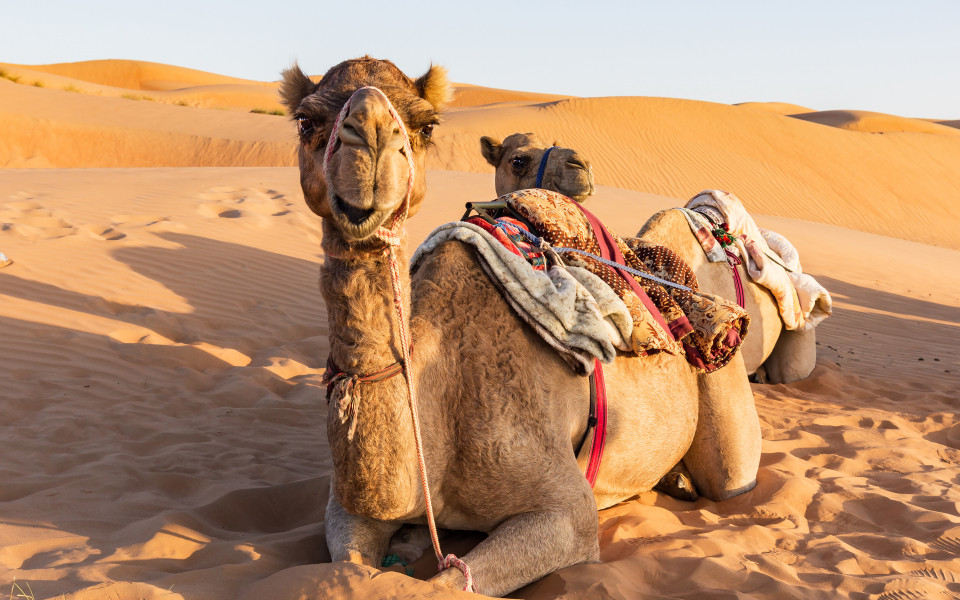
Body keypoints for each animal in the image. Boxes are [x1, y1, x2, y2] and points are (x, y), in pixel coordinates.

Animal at [280, 56, 761, 597]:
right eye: (306, 121)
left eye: (426, 124)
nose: (371, 138)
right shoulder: (346, 508)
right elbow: (351, 567)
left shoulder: (567, 512)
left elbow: (444, 583)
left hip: (723, 397)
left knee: (730, 475)